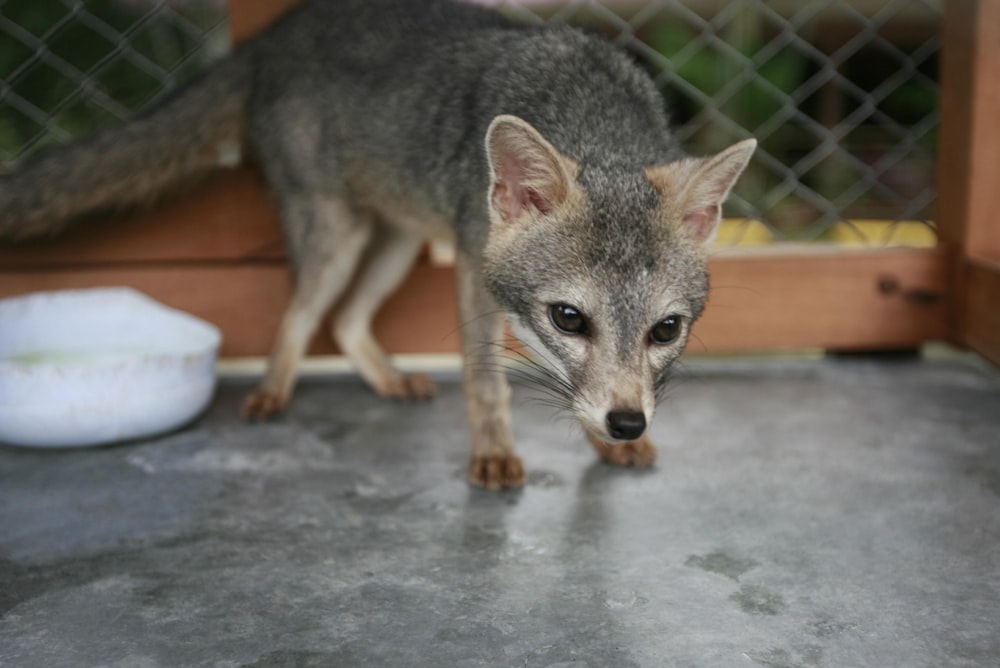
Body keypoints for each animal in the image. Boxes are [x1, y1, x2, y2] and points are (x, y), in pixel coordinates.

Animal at [0, 0, 752, 490]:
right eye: (569, 318)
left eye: (666, 330)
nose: (627, 424)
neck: (587, 111)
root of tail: (273, 35)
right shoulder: (471, 271)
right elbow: (487, 383)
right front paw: (493, 455)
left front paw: (600, 443)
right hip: (339, 237)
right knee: (301, 314)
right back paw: (271, 393)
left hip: (397, 241)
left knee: (344, 320)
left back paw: (388, 379)